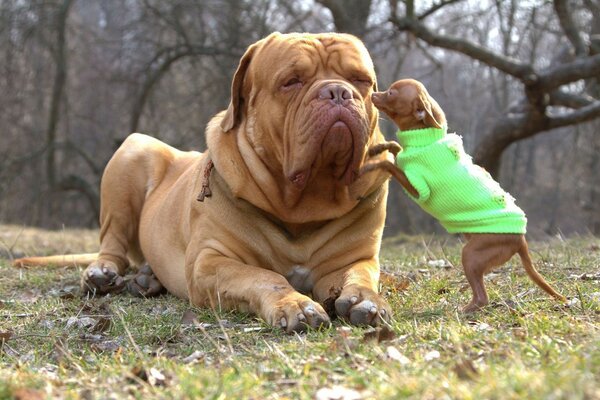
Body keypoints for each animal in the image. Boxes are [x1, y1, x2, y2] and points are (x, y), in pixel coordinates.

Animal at [14, 32, 392, 332]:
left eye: (361, 80)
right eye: (292, 81)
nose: (338, 92)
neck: (303, 203)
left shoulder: (352, 260)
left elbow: (360, 277)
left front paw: (366, 301)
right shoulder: (211, 262)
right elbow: (266, 277)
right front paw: (294, 304)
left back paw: (148, 278)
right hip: (133, 152)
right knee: (112, 244)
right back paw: (102, 273)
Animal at [364, 77, 564, 310]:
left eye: (391, 94)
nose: (373, 93)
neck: (427, 139)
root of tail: (520, 239)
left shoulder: (418, 188)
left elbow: (390, 165)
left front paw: (370, 166)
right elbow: (396, 147)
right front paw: (377, 149)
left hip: (470, 255)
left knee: (482, 297)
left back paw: (464, 310)